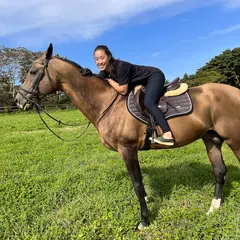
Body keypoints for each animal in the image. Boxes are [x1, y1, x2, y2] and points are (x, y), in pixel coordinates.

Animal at [15, 43, 240, 231]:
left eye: (32, 71)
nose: (18, 100)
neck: (107, 103)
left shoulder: (127, 149)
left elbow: (137, 184)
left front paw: (144, 220)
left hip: (234, 140)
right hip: (211, 139)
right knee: (219, 171)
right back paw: (214, 208)